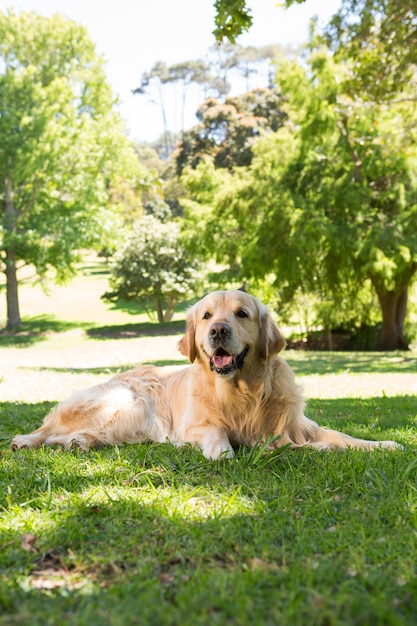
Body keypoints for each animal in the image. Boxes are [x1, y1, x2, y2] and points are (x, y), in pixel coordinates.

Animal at [10, 288, 400, 458]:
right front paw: (222, 451)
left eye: (242, 313)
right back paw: (28, 440)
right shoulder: (196, 425)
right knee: (49, 428)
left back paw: (78, 442)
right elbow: (217, 432)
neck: (242, 390)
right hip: (127, 401)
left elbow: (340, 437)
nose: (218, 332)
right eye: (206, 316)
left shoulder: (296, 427)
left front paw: (382, 444)